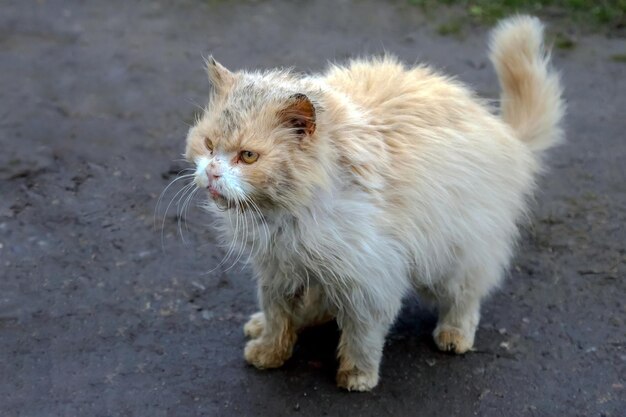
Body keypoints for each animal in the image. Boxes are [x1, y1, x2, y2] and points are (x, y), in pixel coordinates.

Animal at [183, 13, 564, 390]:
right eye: (209, 145)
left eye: (248, 156)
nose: (213, 172)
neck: (287, 212)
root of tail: (505, 132)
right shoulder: (277, 269)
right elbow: (278, 317)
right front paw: (269, 351)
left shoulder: (370, 277)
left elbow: (361, 336)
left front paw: (357, 375)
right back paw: (265, 323)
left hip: (456, 256)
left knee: (466, 298)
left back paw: (454, 335)